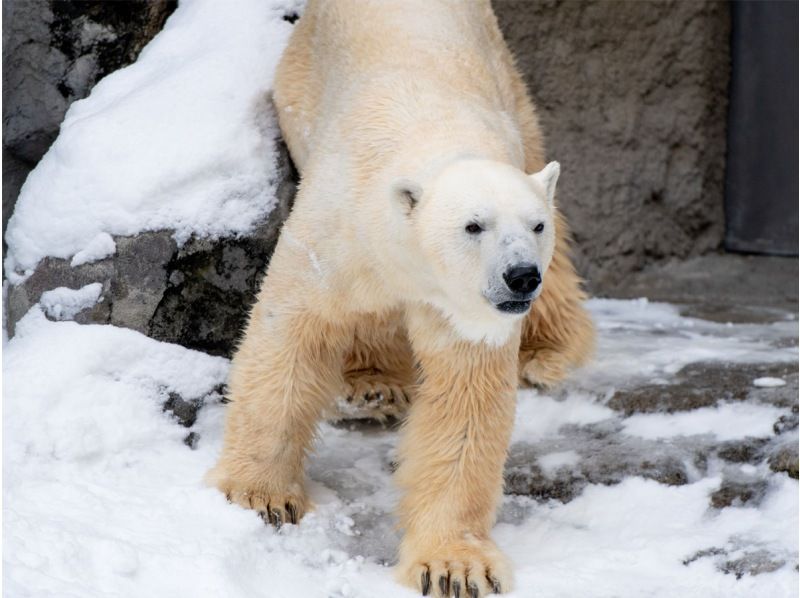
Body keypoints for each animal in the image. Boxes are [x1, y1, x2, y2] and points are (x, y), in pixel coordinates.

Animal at [206, 2, 592, 596]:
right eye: (473, 225)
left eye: (535, 225)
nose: (521, 276)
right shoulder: (338, 233)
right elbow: (290, 337)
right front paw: (259, 494)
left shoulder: (468, 310)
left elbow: (464, 403)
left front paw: (454, 566)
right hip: (300, 91)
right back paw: (373, 386)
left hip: (507, 75)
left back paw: (547, 353)